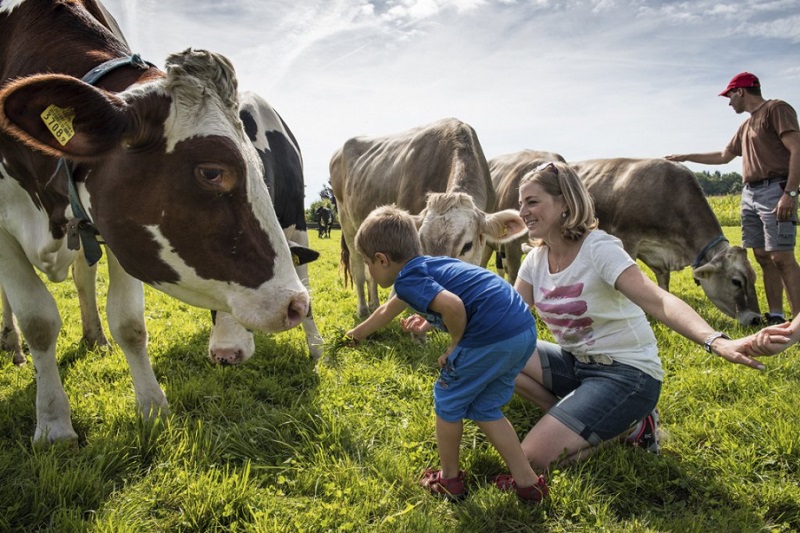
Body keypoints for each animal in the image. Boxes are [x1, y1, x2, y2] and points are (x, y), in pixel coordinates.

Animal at [0, 0, 312, 440]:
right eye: (211, 171)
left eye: (257, 165)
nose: (295, 304)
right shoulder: (5, 230)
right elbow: (38, 321)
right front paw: (54, 425)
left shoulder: (114, 228)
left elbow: (130, 323)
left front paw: (152, 409)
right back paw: (12, 346)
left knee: (82, 277)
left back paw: (94, 337)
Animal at [328, 117, 528, 316]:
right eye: (421, 244)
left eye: (467, 246)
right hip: (346, 221)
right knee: (358, 269)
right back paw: (363, 309)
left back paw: (374, 304)